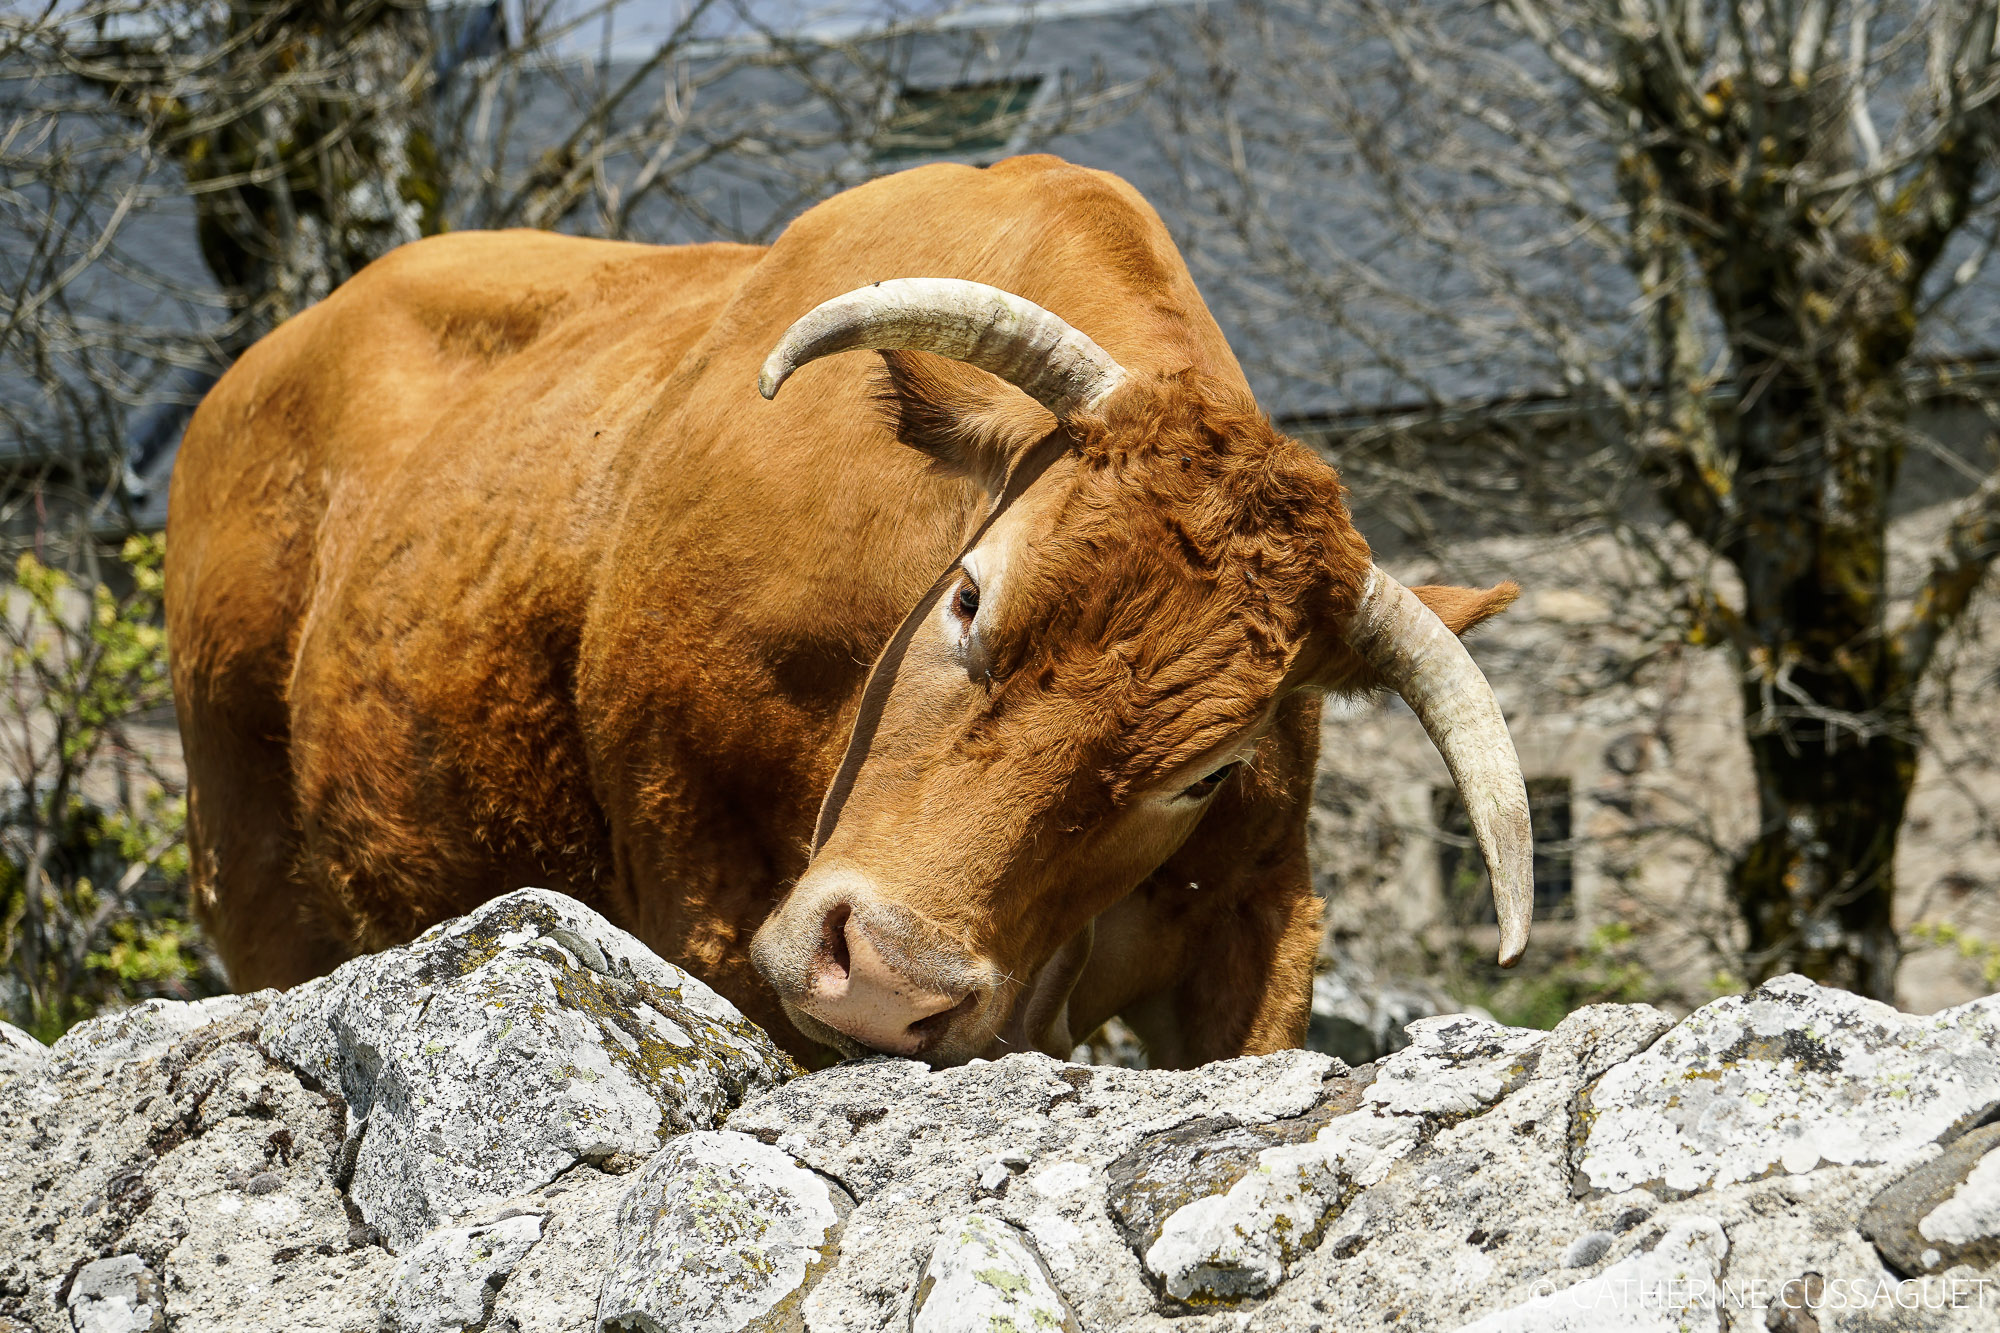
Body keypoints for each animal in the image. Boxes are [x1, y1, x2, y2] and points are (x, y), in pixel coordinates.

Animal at [166, 154, 1532, 1069]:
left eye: (1204, 770)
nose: (883, 977)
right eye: (970, 595)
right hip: (254, 875)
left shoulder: (1259, 917)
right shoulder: (704, 889)